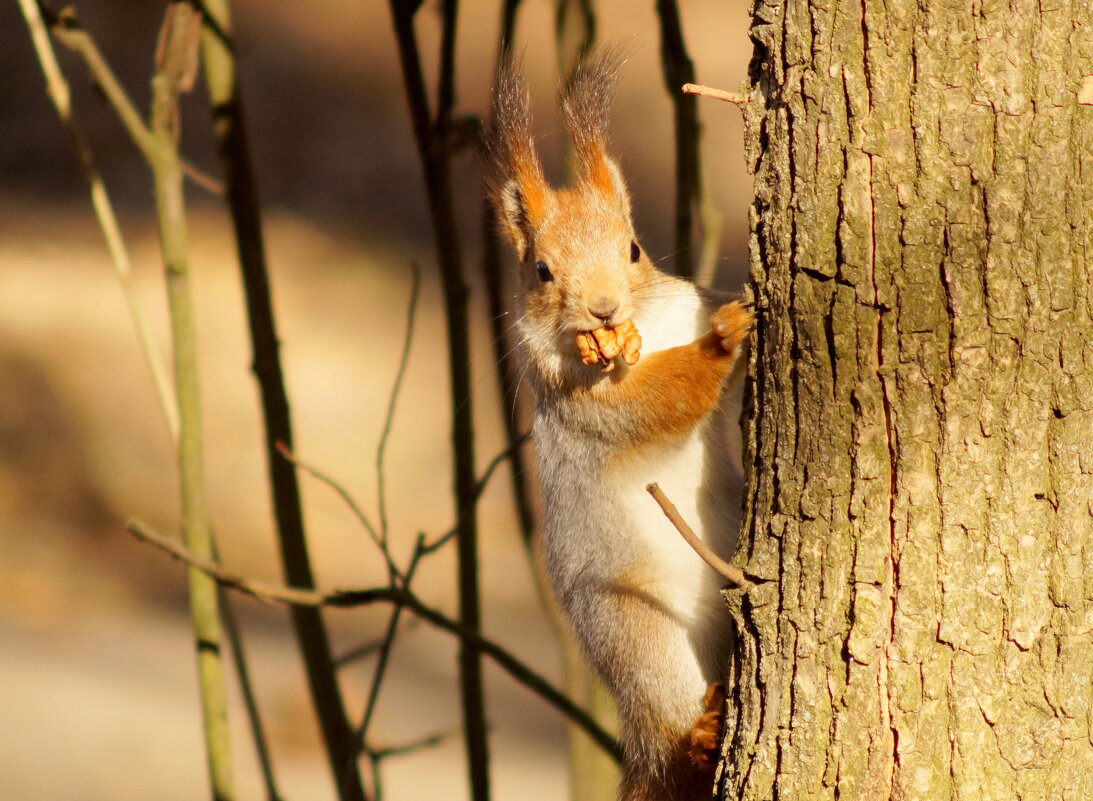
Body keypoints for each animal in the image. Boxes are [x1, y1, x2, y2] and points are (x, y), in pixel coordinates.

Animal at [485, 51, 751, 799]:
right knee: (669, 722)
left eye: (633, 249)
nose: (602, 309)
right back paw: (697, 731)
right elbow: (659, 400)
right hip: (636, 631)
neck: (642, 334)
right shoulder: (582, 403)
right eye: (541, 270)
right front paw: (724, 338)